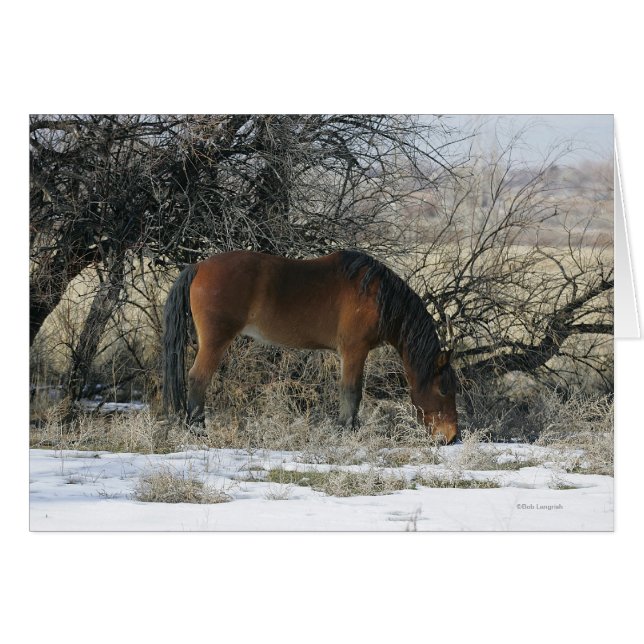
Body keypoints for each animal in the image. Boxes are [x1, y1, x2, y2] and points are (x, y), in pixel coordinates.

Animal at [162, 250, 459, 444]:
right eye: (444, 389)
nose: (452, 437)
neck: (377, 294)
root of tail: (199, 266)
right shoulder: (354, 350)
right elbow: (352, 392)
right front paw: (347, 432)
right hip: (215, 341)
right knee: (198, 379)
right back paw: (198, 430)